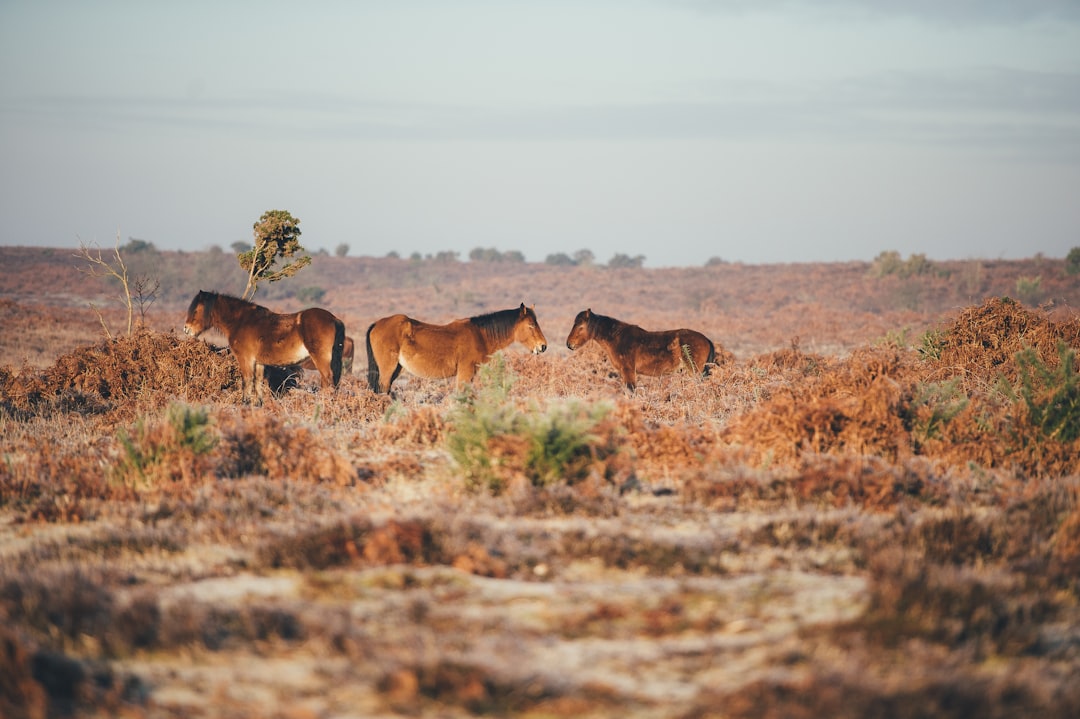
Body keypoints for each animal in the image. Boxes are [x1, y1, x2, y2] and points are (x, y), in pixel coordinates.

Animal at [184, 289, 345, 403]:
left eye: (196, 310)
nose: (186, 329)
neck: (241, 321)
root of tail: (334, 319)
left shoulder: (246, 360)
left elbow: (247, 382)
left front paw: (245, 404)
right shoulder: (259, 363)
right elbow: (258, 385)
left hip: (320, 359)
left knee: (328, 380)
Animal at [367, 300, 548, 395]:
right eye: (531, 325)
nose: (543, 346)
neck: (480, 335)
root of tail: (377, 323)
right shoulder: (465, 373)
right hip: (388, 369)